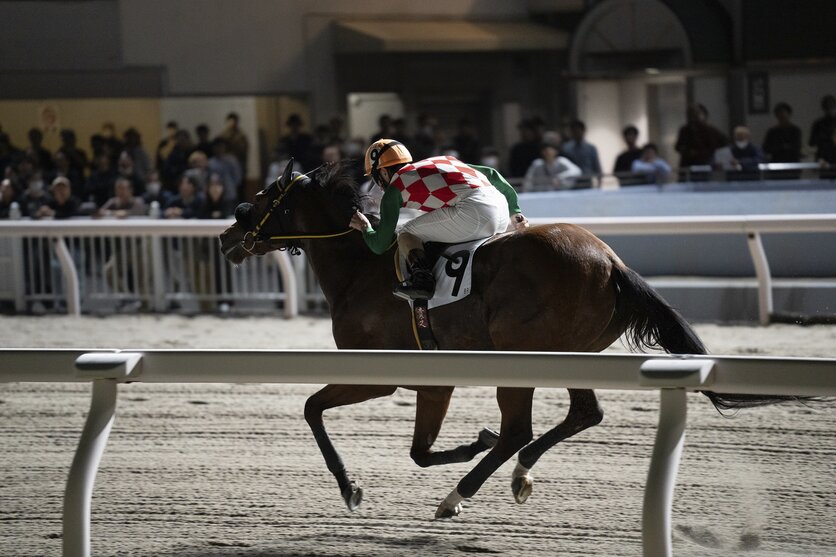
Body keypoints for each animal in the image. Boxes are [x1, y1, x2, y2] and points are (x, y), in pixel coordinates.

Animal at [219, 161, 781, 519]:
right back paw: (519, 474)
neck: (362, 269)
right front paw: (471, 445)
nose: (226, 237)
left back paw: (458, 495)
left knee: (519, 429)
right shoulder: (434, 381)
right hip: (571, 355)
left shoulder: (381, 373)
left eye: (264, 198)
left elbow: (314, 410)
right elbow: (418, 451)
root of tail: (611, 261)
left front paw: (350, 489)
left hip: (521, 352)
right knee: (583, 413)